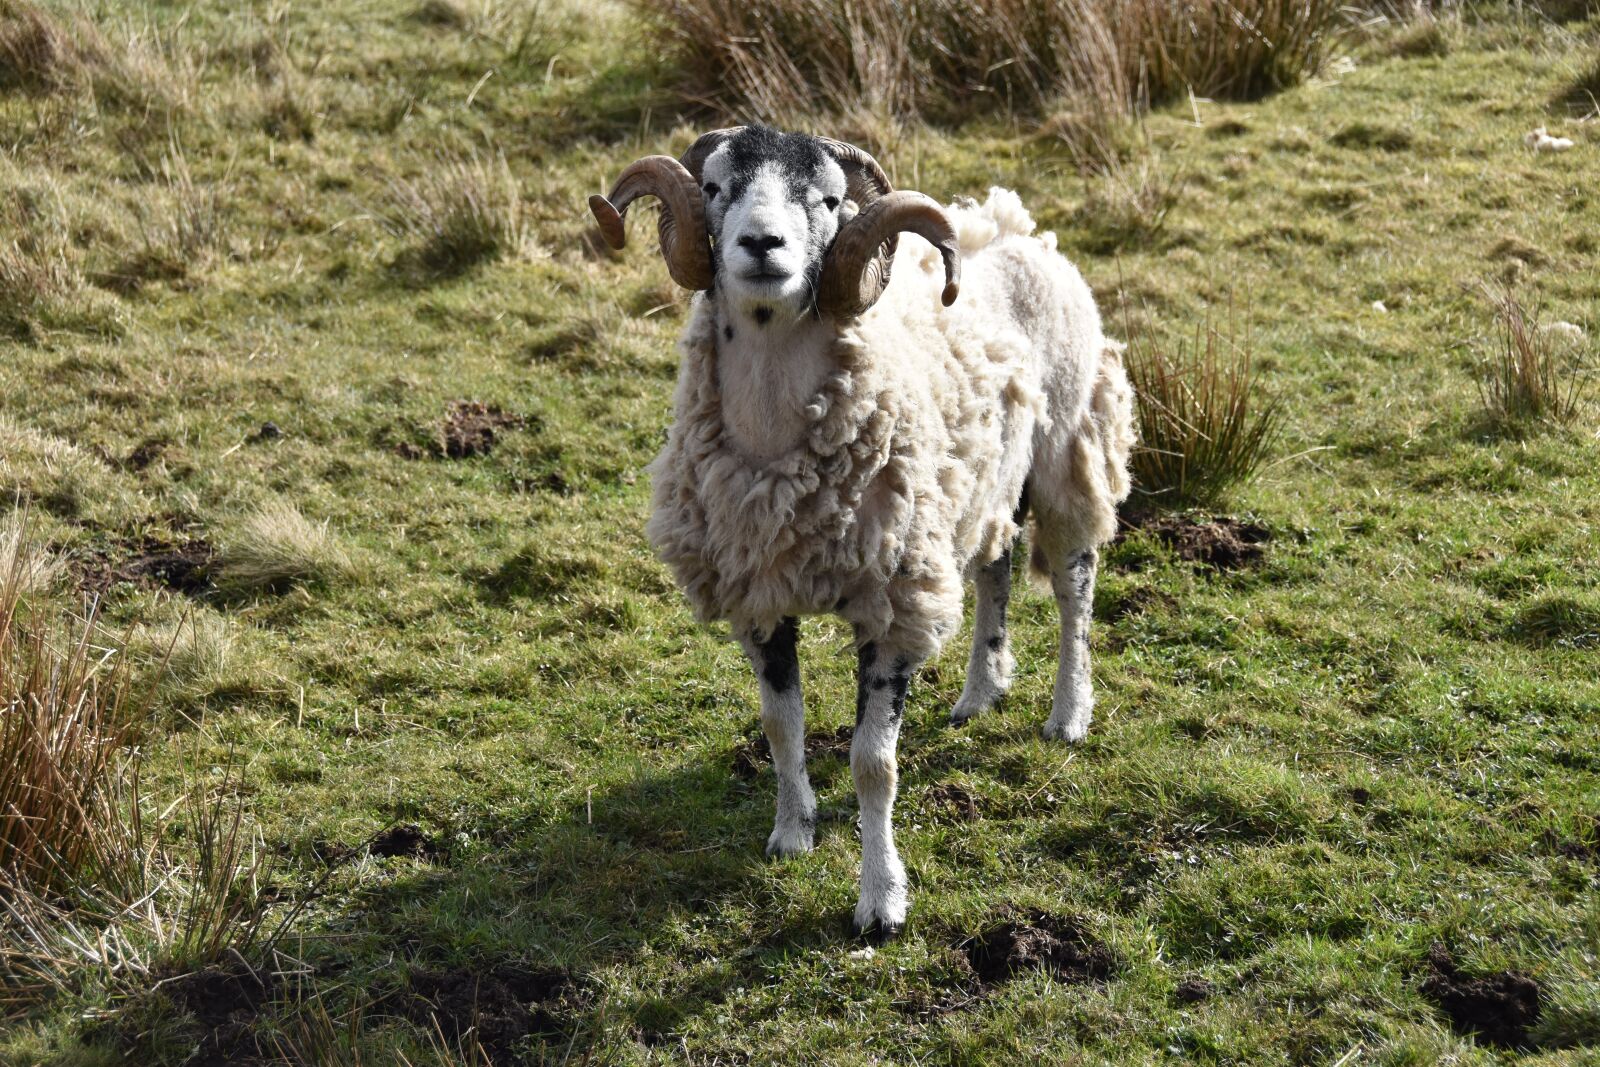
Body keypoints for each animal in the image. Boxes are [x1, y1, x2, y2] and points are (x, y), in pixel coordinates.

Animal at [589, 125, 1134, 935]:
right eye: (715, 187)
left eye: (828, 199)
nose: (762, 244)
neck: (776, 445)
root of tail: (1016, 227)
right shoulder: (759, 595)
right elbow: (781, 728)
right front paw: (792, 833)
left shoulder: (893, 605)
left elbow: (874, 763)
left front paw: (882, 899)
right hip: (977, 484)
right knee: (995, 569)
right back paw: (981, 691)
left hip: (1068, 449)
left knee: (1075, 589)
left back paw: (1068, 714)